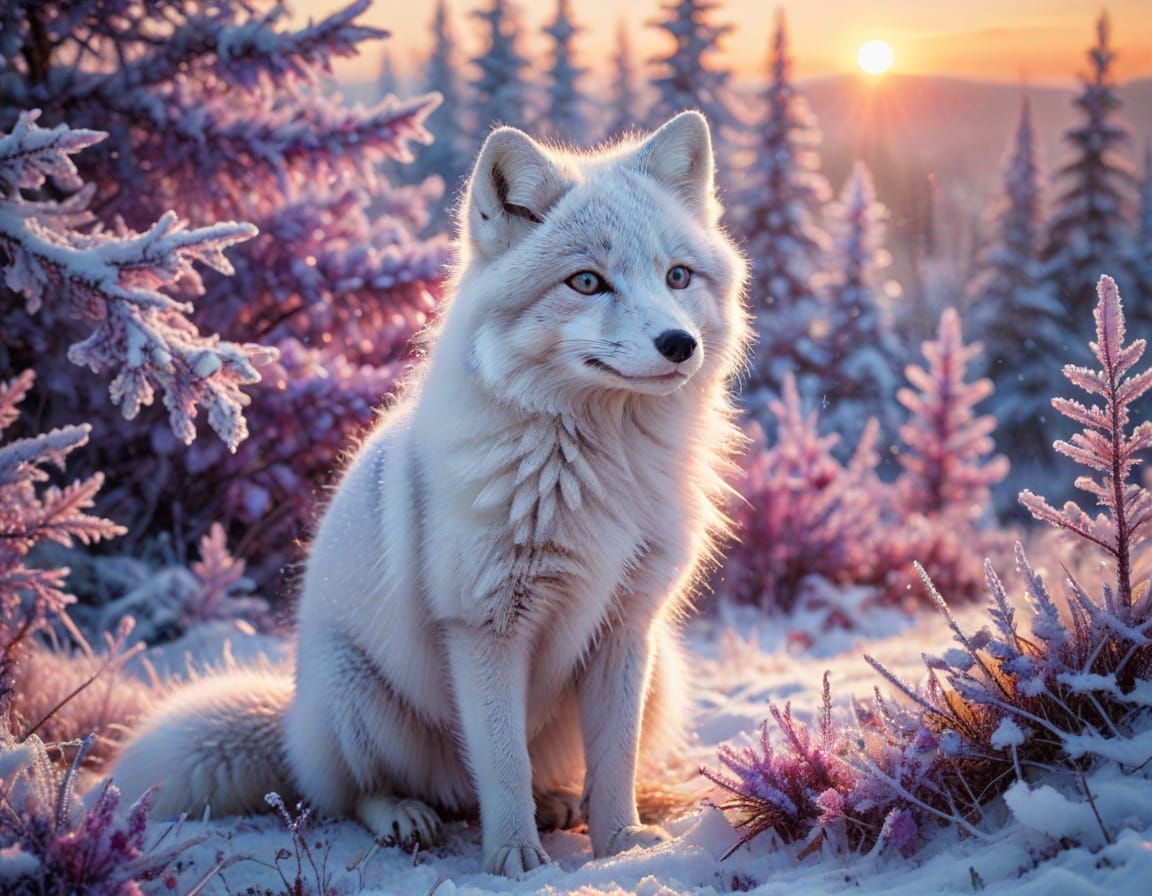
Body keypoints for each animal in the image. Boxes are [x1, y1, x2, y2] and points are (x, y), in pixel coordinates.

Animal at [112, 110, 750, 877]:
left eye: (677, 276)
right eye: (587, 282)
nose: (678, 343)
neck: (598, 467)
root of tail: (291, 719)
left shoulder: (626, 627)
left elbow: (614, 762)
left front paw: (621, 848)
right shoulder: (483, 625)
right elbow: (502, 764)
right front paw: (516, 862)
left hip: (663, 677)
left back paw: (556, 803)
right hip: (355, 698)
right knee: (357, 793)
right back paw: (406, 815)